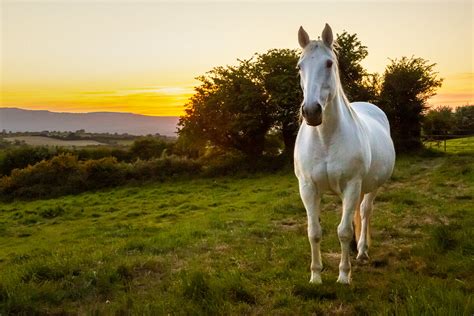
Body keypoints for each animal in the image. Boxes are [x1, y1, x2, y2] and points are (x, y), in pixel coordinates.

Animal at [294, 22, 394, 284]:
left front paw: (343, 276)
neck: (325, 138)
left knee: (365, 213)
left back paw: (361, 252)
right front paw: (315, 276)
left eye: (329, 63)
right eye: (299, 66)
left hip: (371, 187)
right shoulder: (307, 188)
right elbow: (314, 232)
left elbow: (344, 231)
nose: (311, 112)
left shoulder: (352, 185)